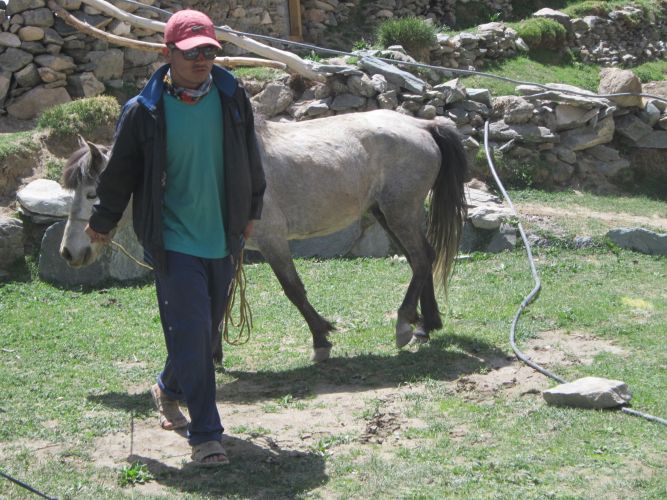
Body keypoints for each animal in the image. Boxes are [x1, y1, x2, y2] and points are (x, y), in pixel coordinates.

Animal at [60, 109, 468, 362]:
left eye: (92, 193)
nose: (68, 252)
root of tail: (422, 125)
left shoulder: (273, 241)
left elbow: (293, 290)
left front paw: (321, 338)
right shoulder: (228, 250)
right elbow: (220, 298)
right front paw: (214, 354)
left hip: (399, 211)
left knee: (421, 259)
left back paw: (405, 323)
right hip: (387, 213)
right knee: (422, 259)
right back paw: (426, 325)